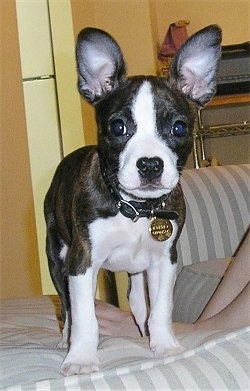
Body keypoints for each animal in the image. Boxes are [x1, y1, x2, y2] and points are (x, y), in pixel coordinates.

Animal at [44, 25, 221, 376]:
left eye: (179, 127)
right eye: (118, 127)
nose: (150, 164)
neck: (135, 210)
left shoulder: (165, 260)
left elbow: (161, 308)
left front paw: (165, 346)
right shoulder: (81, 262)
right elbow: (84, 315)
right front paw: (81, 358)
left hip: (137, 274)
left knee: (140, 305)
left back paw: (143, 333)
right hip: (57, 256)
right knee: (68, 307)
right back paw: (65, 340)